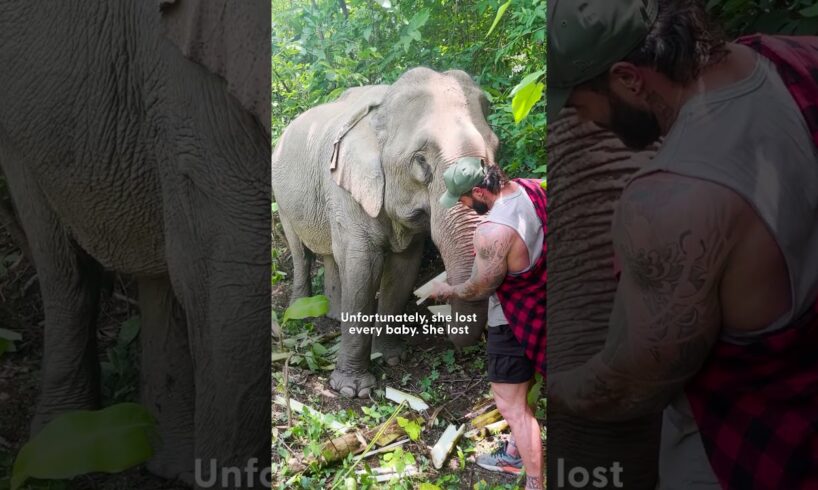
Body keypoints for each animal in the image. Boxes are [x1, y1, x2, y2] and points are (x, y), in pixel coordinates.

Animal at [270, 68, 494, 398]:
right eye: (421, 161)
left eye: (496, 149)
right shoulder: (344, 189)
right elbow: (362, 268)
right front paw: (352, 390)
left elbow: (403, 269)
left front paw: (390, 357)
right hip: (282, 198)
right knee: (301, 252)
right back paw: (303, 312)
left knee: (331, 254)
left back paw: (335, 315)